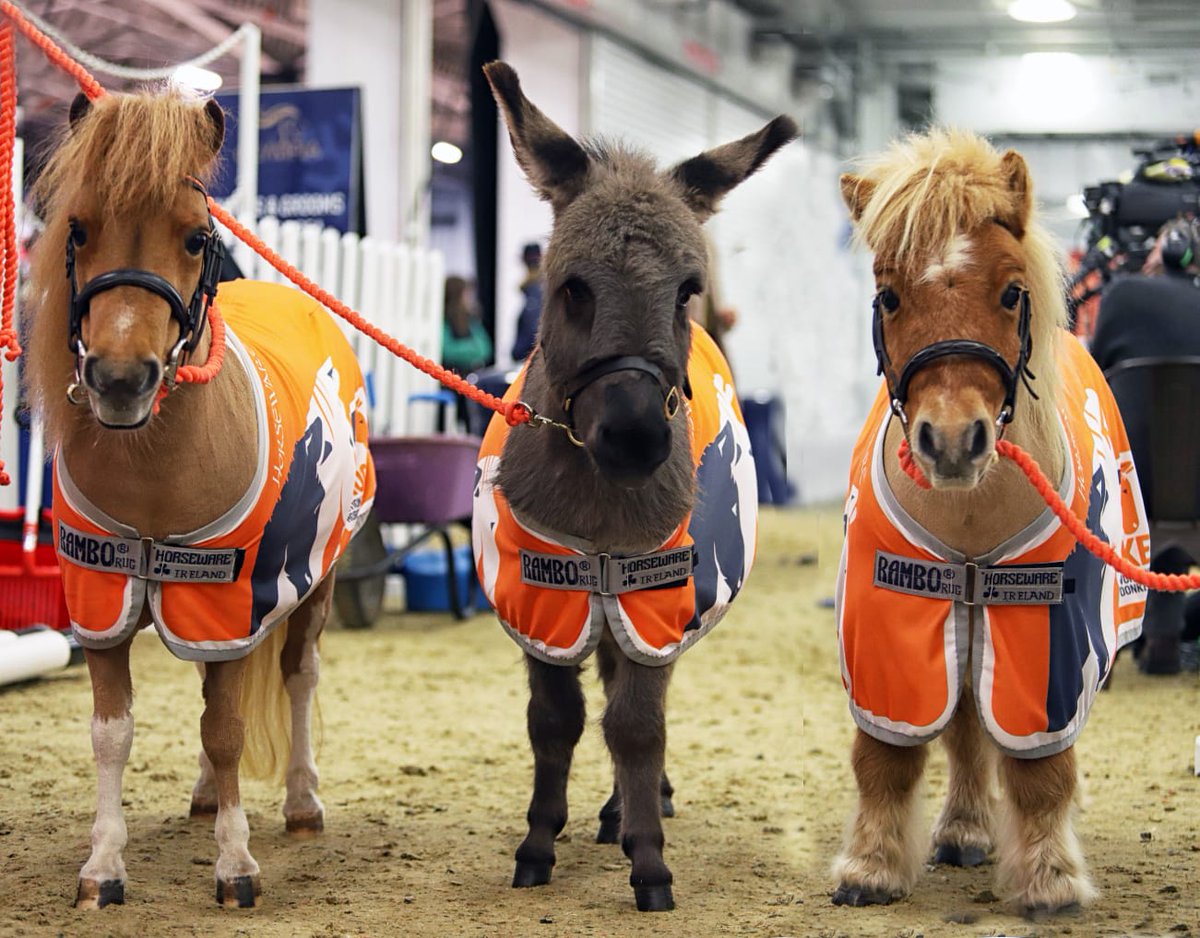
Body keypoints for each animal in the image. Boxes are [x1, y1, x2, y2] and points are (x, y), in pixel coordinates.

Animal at [24, 90, 375, 909]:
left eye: (193, 237)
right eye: (78, 228)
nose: (121, 381)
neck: (154, 461)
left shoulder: (227, 606)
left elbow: (228, 729)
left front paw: (235, 865)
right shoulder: (105, 600)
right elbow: (113, 731)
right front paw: (103, 867)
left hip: (314, 587)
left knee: (297, 677)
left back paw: (302, 803)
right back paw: (208, 794)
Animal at [471, 61, 796, 913]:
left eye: (688, 289)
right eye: (571, 287)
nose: (638, 435)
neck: (599, 504)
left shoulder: (655, 591)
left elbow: (637, 725)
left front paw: (649, 861)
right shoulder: (542, 597)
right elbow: (555, 721)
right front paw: (537, 844)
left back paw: (631, 811)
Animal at [832, 128, 1149, 917]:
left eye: (1010, 292)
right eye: (888, 294)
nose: (951, 441)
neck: (971, 519)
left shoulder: (1046, 633)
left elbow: (1041, 768)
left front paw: (1050, 878)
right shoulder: (893, 617)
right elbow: (886, 755)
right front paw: (870, 868)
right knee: (968, 733)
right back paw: (964, 831)